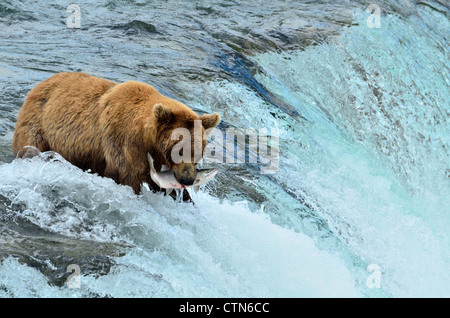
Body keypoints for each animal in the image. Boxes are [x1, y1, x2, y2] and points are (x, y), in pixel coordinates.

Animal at [11, 73, 220, 200]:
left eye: (199, 152)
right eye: (179, 150)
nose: (188, 180)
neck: (146, 140)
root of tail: (36, 87)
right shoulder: (123, 145)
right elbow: (129, 177)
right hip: (38, 127)